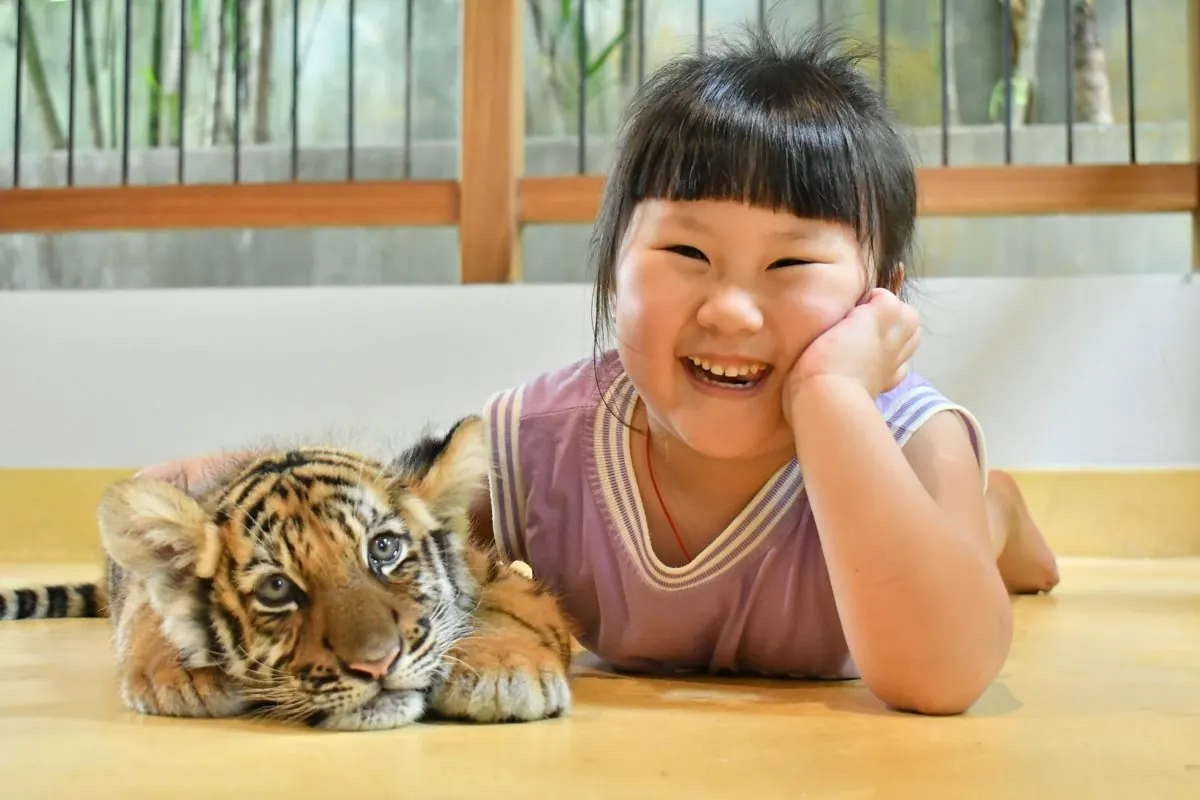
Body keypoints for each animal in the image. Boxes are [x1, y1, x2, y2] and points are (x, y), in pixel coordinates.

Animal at [0, 415, 575, 731]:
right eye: (277, 588)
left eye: (384, 548)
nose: (376, 666)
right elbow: (151, 613)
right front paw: (182, 675)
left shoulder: (502, 576)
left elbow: (511, 611)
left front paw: (503, 671)